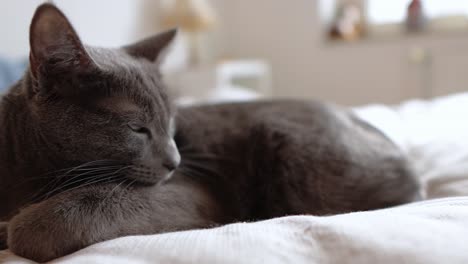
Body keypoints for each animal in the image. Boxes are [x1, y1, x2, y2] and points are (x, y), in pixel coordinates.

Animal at [0, 3, 418, 262]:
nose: (175, 160)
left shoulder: (193, 189)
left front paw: (16, 229)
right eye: (138, 128)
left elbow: (71, 211)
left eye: (171, 123)